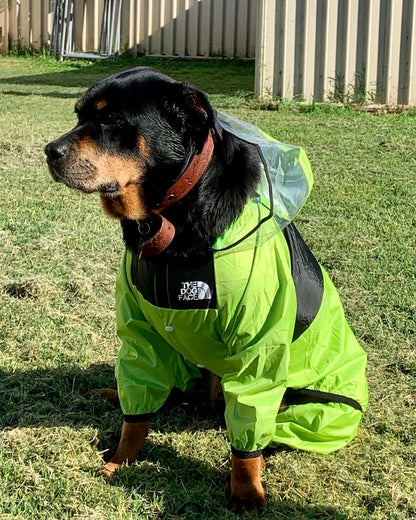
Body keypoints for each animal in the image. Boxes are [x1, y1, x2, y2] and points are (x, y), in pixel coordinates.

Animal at [44, 67, 368, 512]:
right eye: (79, 116)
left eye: (112, 120)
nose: (49, 150)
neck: (170, 219)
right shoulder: (141, 330)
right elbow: (138, 406)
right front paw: (123, 456)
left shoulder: (259, 343)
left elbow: (248, 431)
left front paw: (246, 491)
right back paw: (116, 393)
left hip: (312, 408)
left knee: (267, 428)